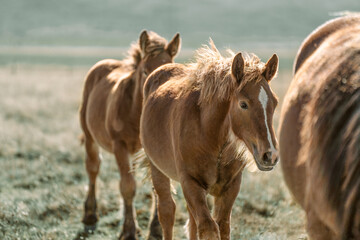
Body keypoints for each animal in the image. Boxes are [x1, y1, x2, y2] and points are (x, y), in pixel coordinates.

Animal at [79, 30, 180, 240]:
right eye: (145, 71)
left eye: (170, 68)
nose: (157, 96)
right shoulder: (120, 146)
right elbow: (127, 187)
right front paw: (129, 230)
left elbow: (156, 190)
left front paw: (155, 229)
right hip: (90, 136)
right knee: (93, 168)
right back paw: (90, 214)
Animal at [140, 40, 278, 239]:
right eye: (243, 104)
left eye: (274, 103)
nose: (270, 155)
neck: (210, 136)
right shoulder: (190, 182)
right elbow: (208, 227)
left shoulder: (230, 187)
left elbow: (222, 226)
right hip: (157, 169)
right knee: (167, 212)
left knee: (191, 222)